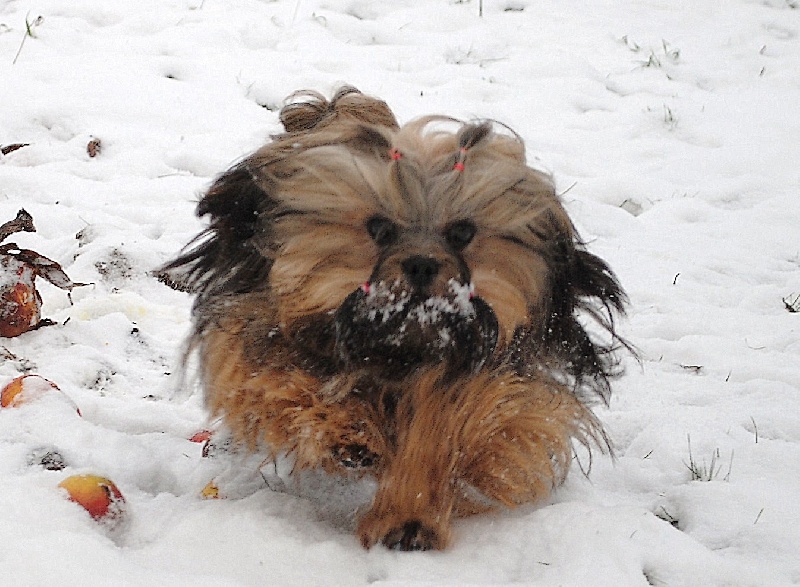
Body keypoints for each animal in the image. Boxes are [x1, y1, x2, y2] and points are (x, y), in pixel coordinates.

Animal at [159, 86, 628, 552]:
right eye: (379, 228)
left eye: (462, 232)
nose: (421, 264)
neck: (399, 340)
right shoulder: (258, 332)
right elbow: (284, 381)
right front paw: (347, 429)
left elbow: (451, 422)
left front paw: (409, 517)